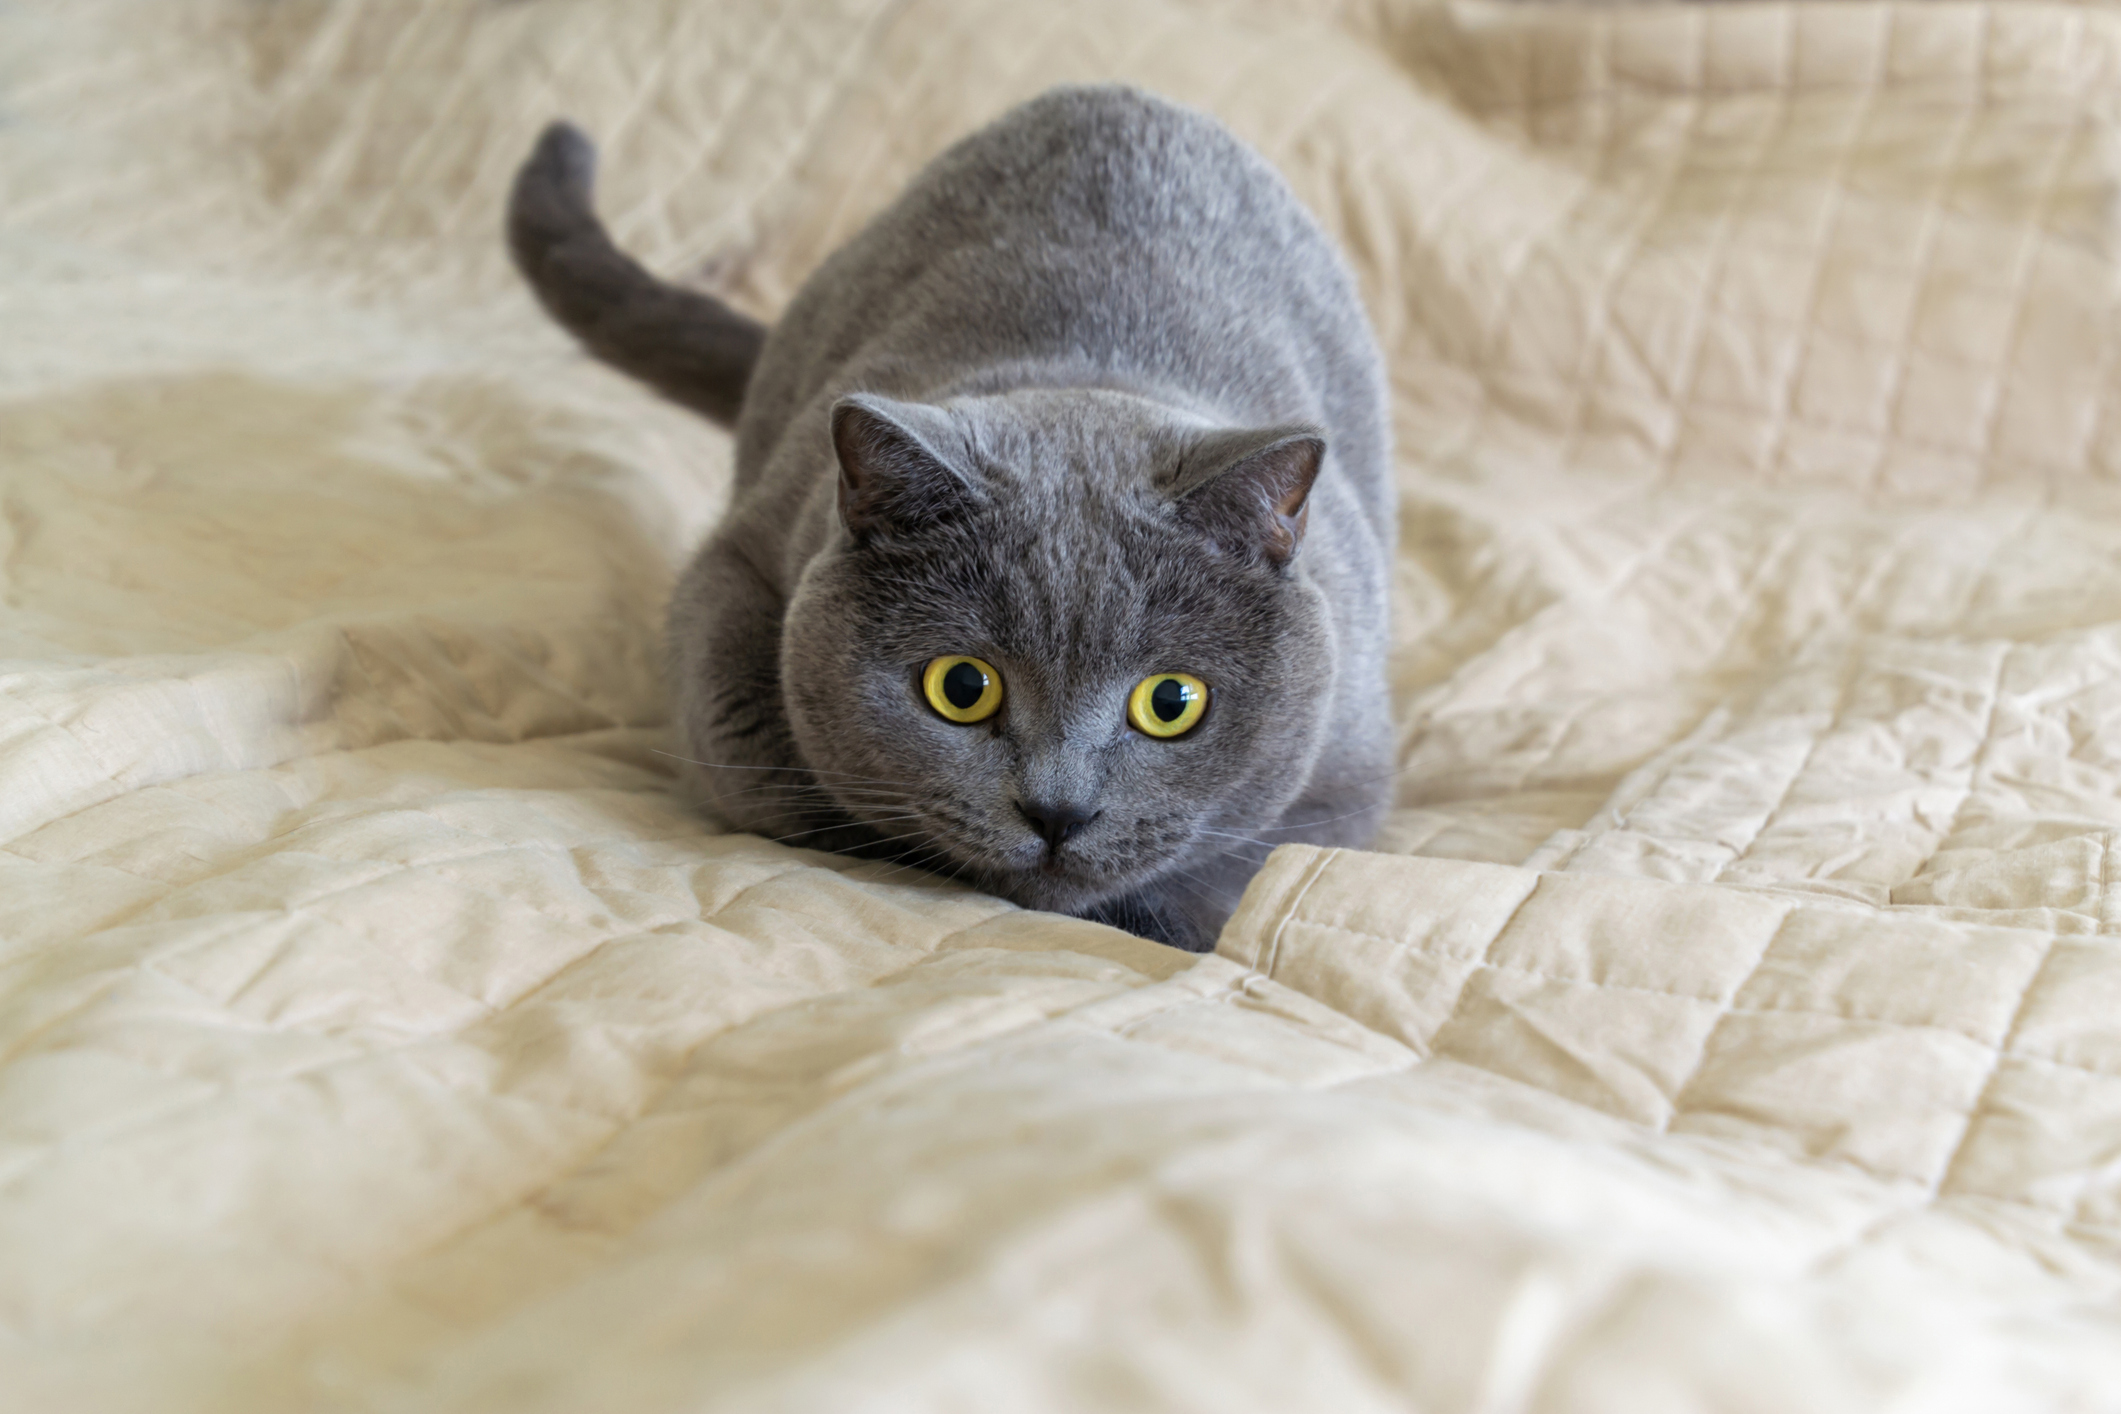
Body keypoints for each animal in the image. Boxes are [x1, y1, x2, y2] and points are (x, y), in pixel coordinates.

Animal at [506, 85, 1399, 949]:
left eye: (1171, 702)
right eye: (961, 687)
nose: (1057, 812)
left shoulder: (1346, 767)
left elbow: (1244, 872)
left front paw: (1158, 920)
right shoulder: (740, 572)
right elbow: (764, 769)